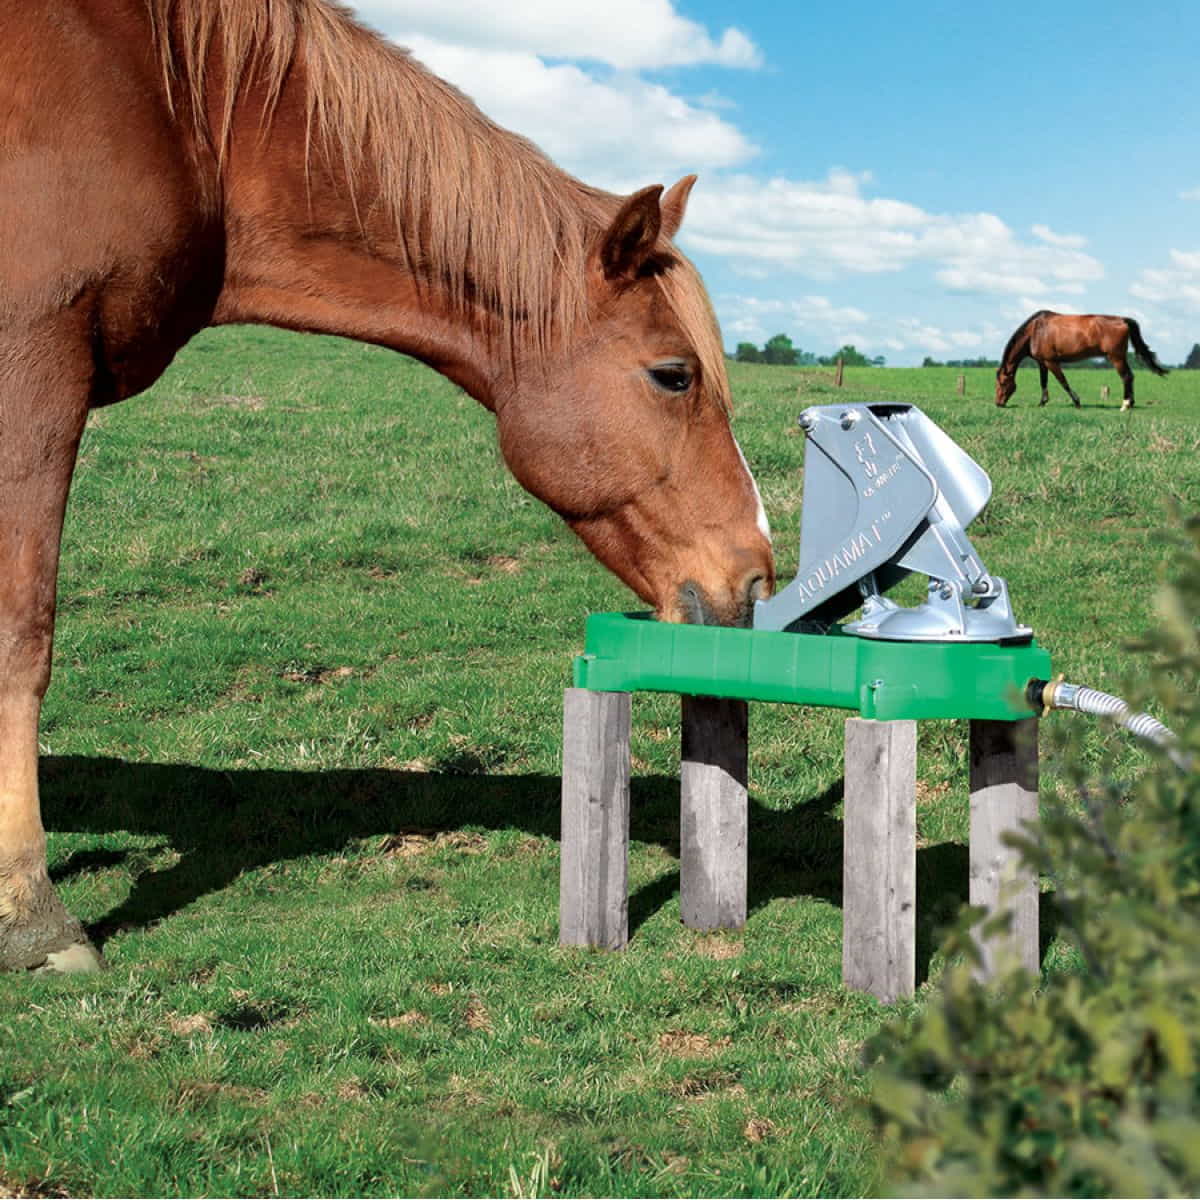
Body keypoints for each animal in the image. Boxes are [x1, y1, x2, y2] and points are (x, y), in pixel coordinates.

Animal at [0, 0, 775, 974]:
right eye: (675, 375)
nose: (757, 573)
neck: (179, 111)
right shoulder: (32, 368)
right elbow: (23, 634)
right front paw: (34, 916)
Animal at [994, 310, 1168, 409]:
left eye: (1003, 383)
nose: (998, 403)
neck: (1036, 330)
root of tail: (1123, 320)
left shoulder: (1051, 362)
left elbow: (1063, 381)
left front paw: (1077, 402)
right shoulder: (1042, 362)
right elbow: (1043, 382)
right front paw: (1042, 402)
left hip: (1116, 357)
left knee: (1126, 376)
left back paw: (1125, 404)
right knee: (1130, 376)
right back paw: (1130, 403)